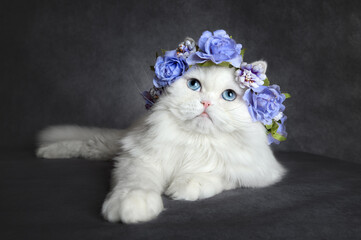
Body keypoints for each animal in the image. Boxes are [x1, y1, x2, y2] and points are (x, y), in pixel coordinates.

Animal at [35, 63, 284, 223]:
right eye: (194, 85)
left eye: (229, 95)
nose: (205, 103)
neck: (196, 141)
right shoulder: (137, 157)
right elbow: (136, 182)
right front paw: (132, 204)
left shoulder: (255, 170)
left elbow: (219, 173)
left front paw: (186, 186)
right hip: (113, 144)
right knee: (87, 144)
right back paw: (45, 151)